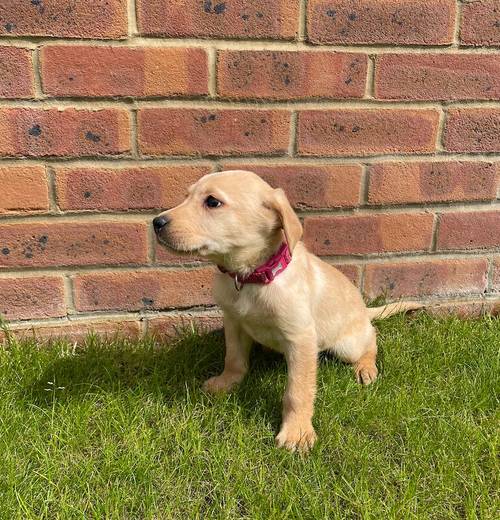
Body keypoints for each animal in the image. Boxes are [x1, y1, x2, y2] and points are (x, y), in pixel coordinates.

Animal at [154, 171, 420, 450]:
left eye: (212, 202)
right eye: (187, 196)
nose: (156, 222)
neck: (252, 278)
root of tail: (364, 311)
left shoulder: (300, 338)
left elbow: (297, 391)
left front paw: (297, 432)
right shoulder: (234, 322)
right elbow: (234, 358)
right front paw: (226, 383)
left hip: (349, 345)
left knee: (371, 341)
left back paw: (366, 368)